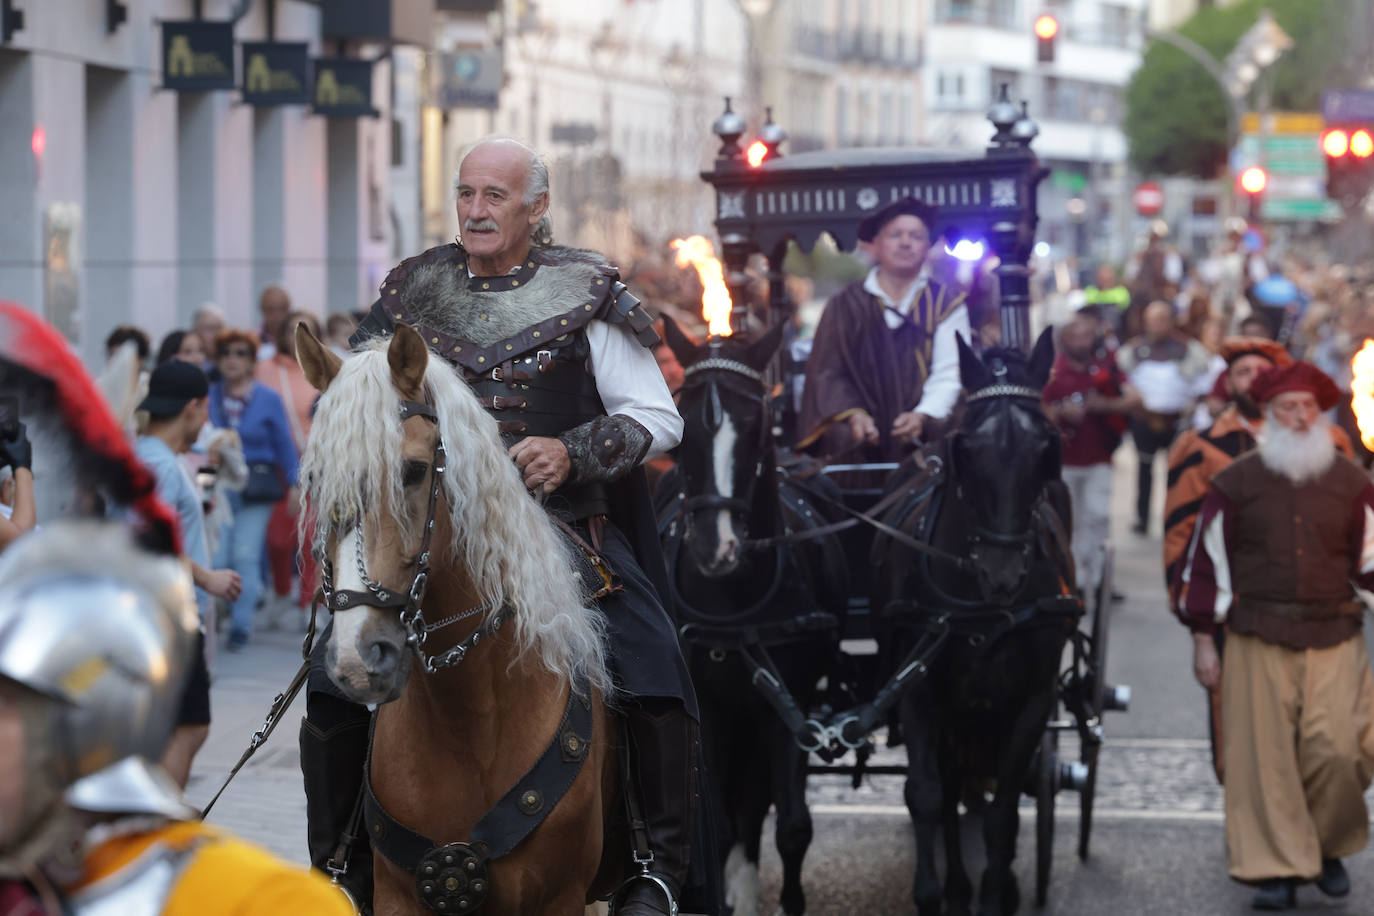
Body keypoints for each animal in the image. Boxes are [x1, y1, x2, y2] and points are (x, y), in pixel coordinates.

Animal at [300, 325, 629, 911]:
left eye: (412, 470)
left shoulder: (560, 897)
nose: (360, 660)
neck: (473, 717)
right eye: (316, 477)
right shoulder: (399, 897)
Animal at [656, 318, 846, 911]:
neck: (737, 603)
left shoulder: (789, 705)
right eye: (679, 414)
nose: (715, 547)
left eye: (755, 420)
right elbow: (716, 823)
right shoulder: (714, 707)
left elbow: (793, 826)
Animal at [873, 330, 1077, 916]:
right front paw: (933, 894)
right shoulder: (920, 692)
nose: (1001, 574)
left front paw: (996, 892)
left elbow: (1003, 814)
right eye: (968, 448)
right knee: (947, 785)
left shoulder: (1030, 701)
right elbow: (925, 794)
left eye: (1045, 448)